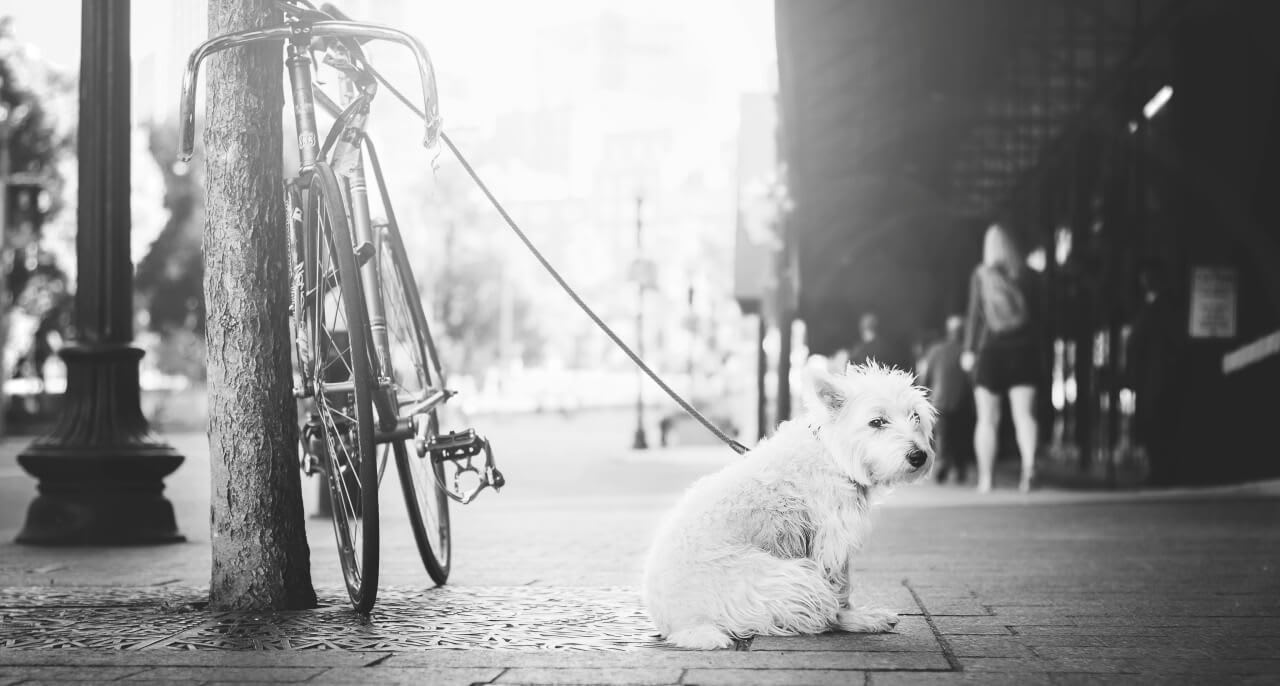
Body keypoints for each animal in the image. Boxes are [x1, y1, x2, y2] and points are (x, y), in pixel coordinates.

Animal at [645, 360, 936, 650]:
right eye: (877, 422)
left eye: (916, 416)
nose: (919, 456)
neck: (832, 455)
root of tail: (682, 626)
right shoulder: (832, 542)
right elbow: (840, 589)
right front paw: (855, 616)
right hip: (795, 580)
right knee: (821, 614)